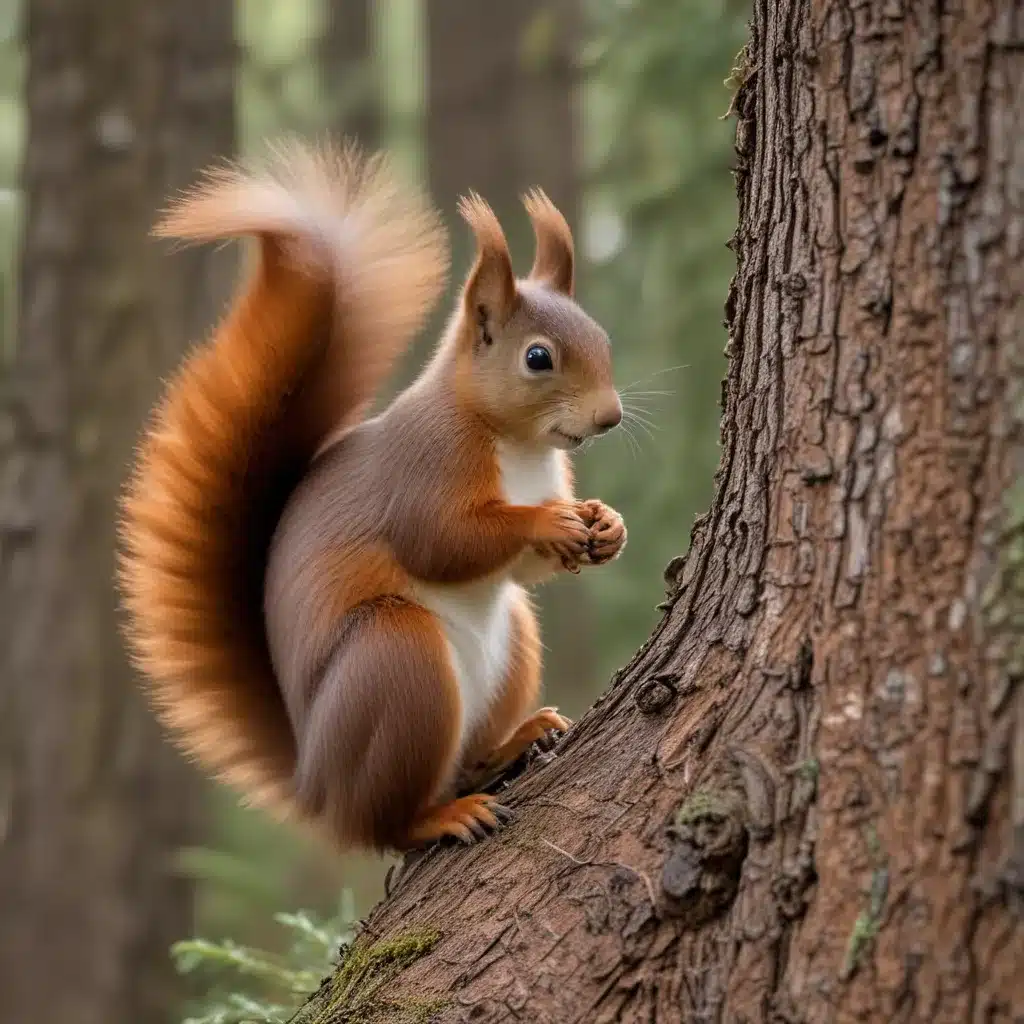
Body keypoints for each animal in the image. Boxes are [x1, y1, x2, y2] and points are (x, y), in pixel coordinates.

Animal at [120, 140, 630, 851]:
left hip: (509, 644)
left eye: (602, 339)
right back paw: (442, 815)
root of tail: (314, 785)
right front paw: (547, 523)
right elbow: (439, 541)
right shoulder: (425, 468)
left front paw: (607, 526)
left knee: (465, 756)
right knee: (387, 823)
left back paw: (512, 741)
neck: (519, 445)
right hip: (395, 661)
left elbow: (528, 569)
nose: (610, 417)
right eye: (538, 358)